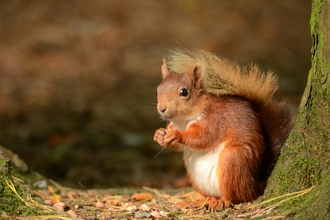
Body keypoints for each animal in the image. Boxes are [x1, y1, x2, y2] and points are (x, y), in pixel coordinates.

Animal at [153, 48, 292, 210]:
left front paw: (176, 135)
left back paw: (223, 201)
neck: (183, 121)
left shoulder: (214, 120)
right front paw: (159, 135)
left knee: (238, 196)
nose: (162, 109)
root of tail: (256, 184)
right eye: (157, 91)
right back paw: (196, 202)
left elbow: (203, 137)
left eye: (184, 92)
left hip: (233, 160)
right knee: (212, 196)